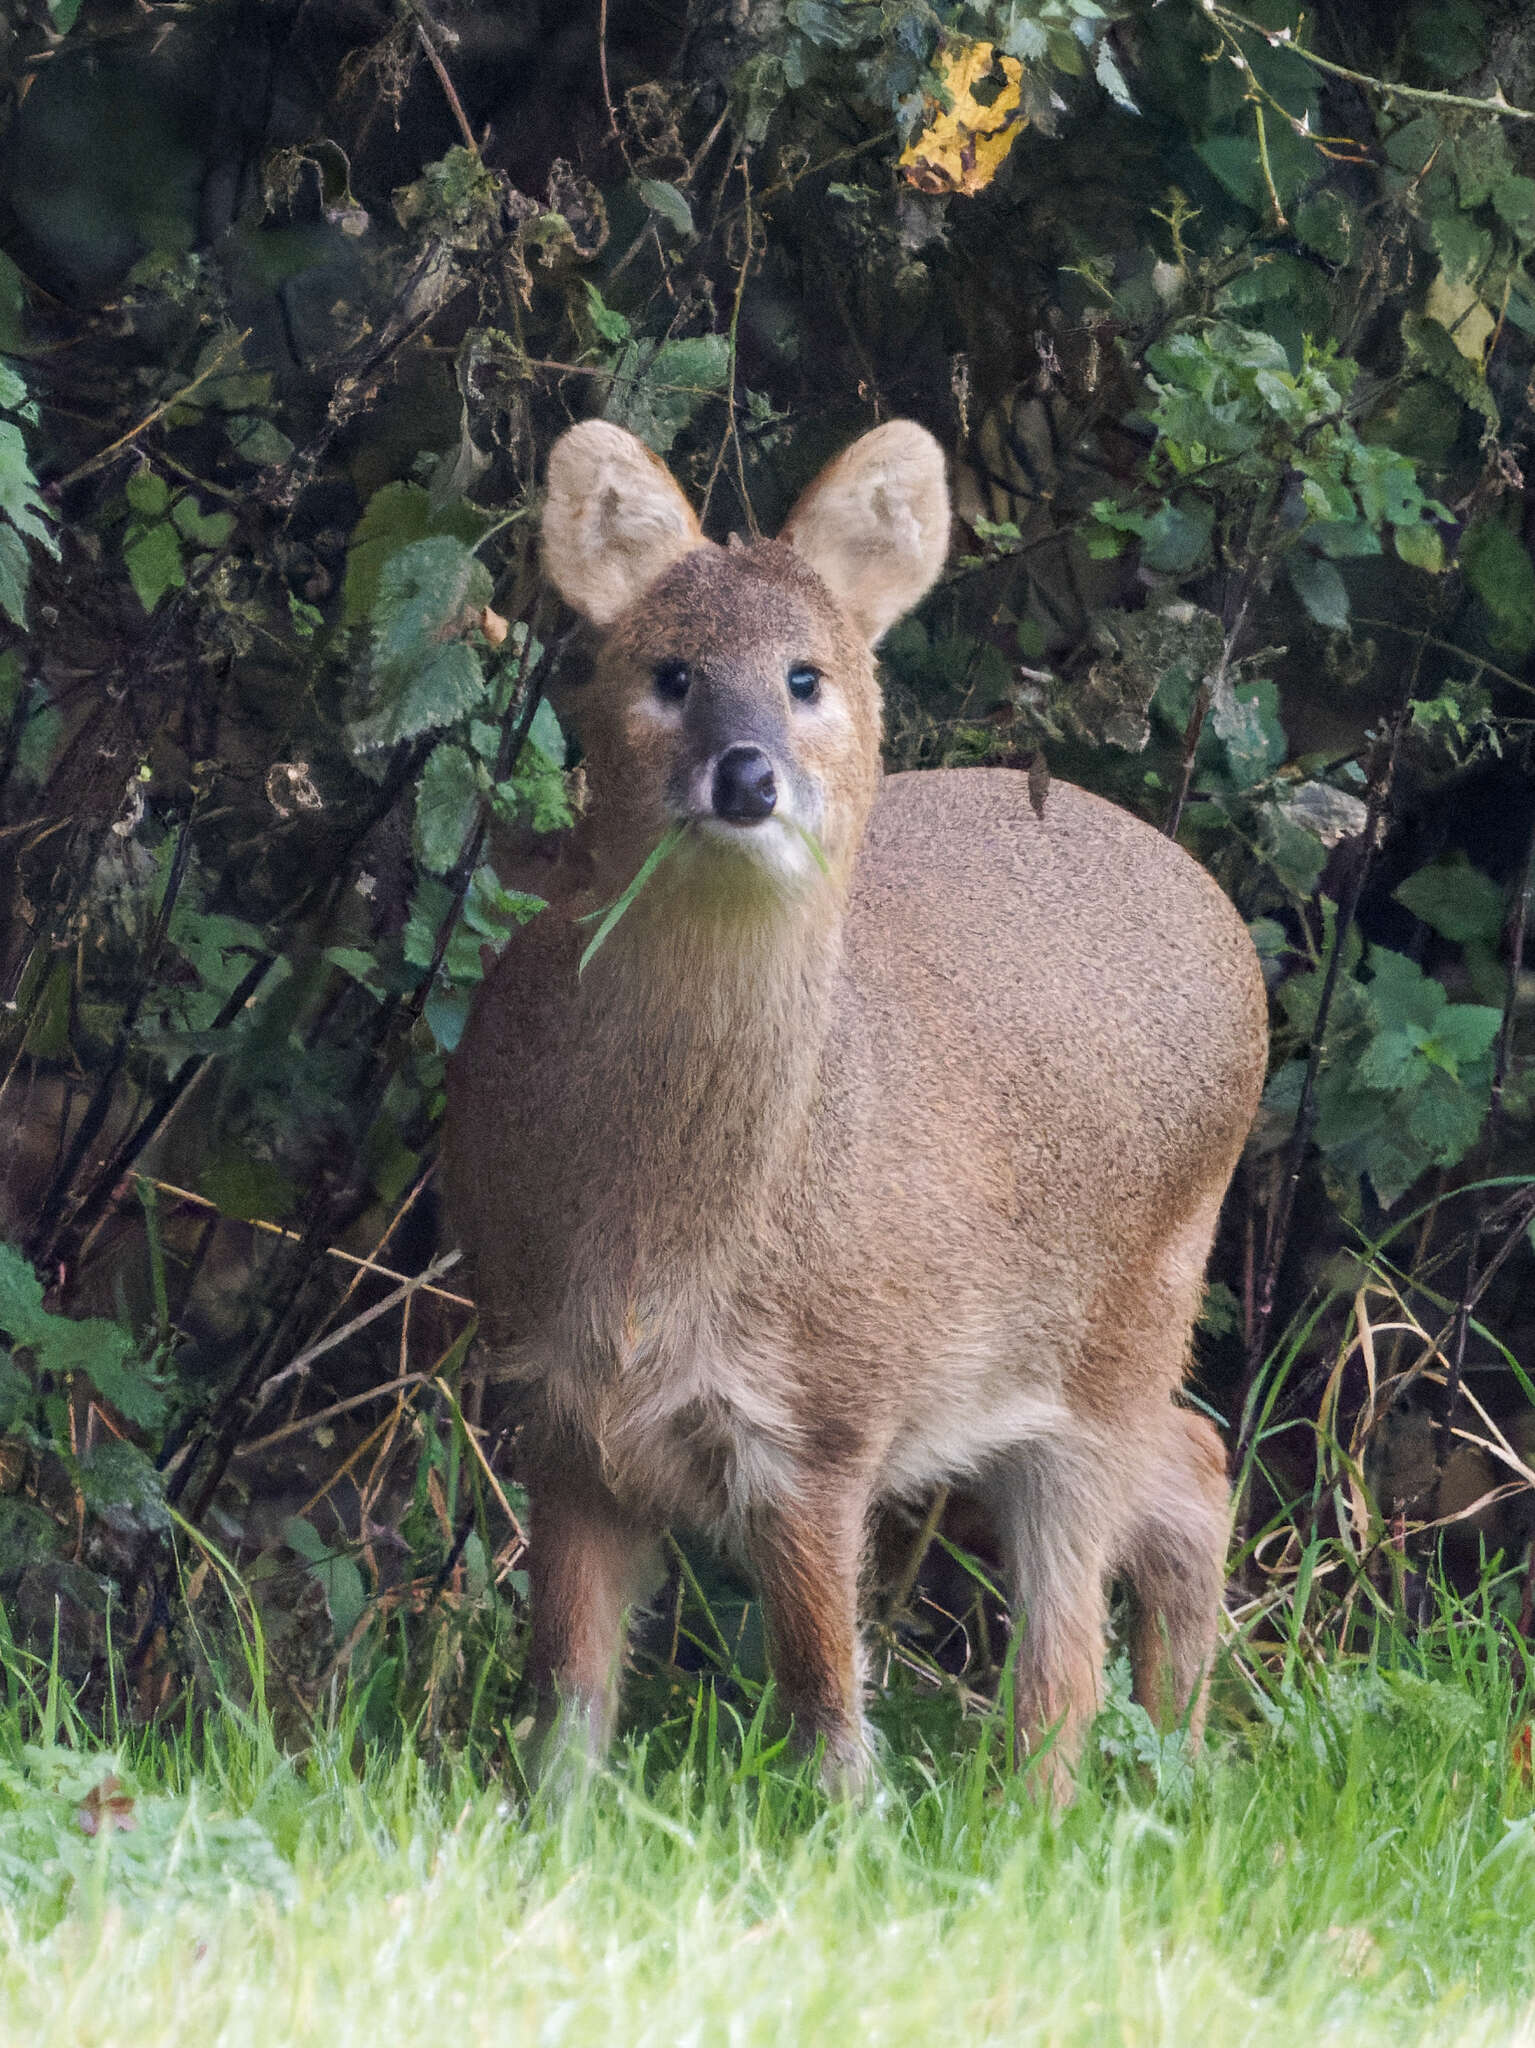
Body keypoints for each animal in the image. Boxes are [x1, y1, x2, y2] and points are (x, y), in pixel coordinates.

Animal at [448, 419, 1277, 1794]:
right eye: (668, 671)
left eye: (805, 675)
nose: (745, 777)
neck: (663, 1246)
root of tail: (1225, 927)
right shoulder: (556, 1402)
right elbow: (565, 1694)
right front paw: (544, 1827)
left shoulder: (829, 1415)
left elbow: (823, 1697)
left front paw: (849, 1826)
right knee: (1194, 1470)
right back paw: (1172, 1759)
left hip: (1126, 1323)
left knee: (1070, 1652)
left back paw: (1054, 1808)